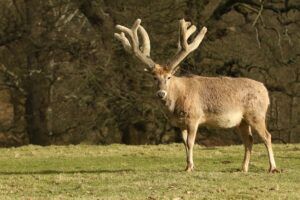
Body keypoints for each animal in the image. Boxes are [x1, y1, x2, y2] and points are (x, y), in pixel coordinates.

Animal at [113, 18, 278, 173]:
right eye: (154, 78)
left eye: (169, 77)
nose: (161, 93)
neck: (178, 101)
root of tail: (265, 90)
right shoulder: (180, 124)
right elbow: (184, 144)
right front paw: (187, 166)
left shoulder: (194, 117)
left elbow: (191, 143)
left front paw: (191, 167)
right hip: (242, 121)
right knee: (249, 140)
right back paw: (243, 168)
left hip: (256, 114)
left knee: (267, 136)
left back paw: (272, 168)